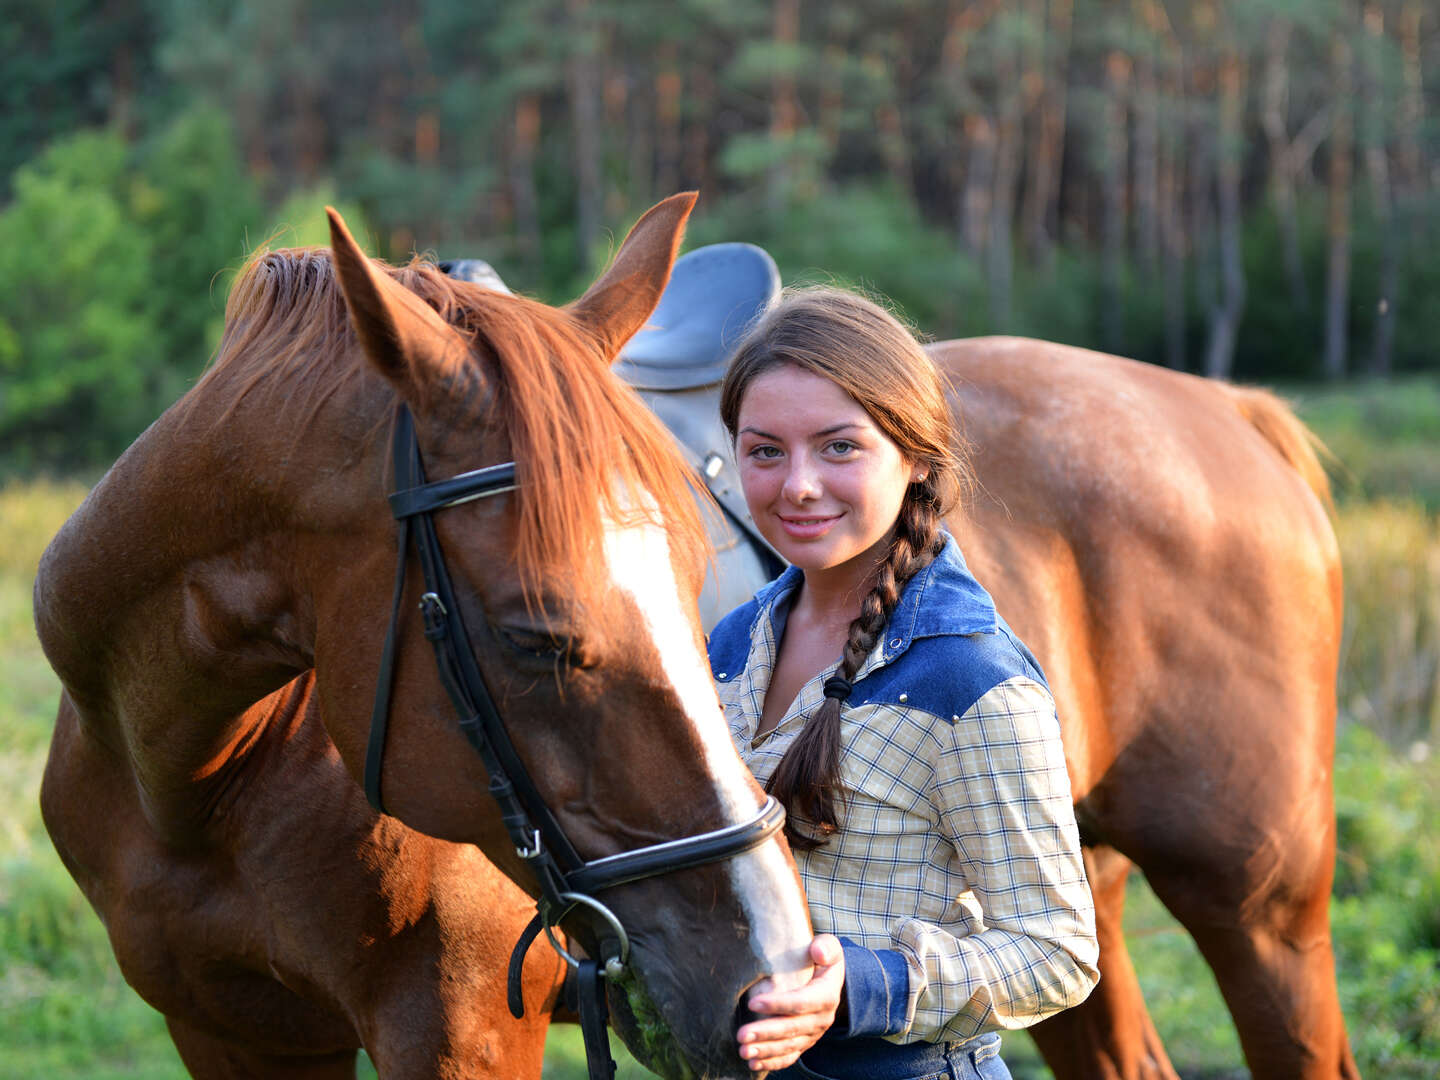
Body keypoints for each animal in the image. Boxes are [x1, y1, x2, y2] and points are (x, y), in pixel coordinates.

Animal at [33, 197, 817, 1080]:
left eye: (692, 582)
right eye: (530, 639)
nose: (779, 969)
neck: (198, 785)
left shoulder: (460, 1033)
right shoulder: (231, 1035)